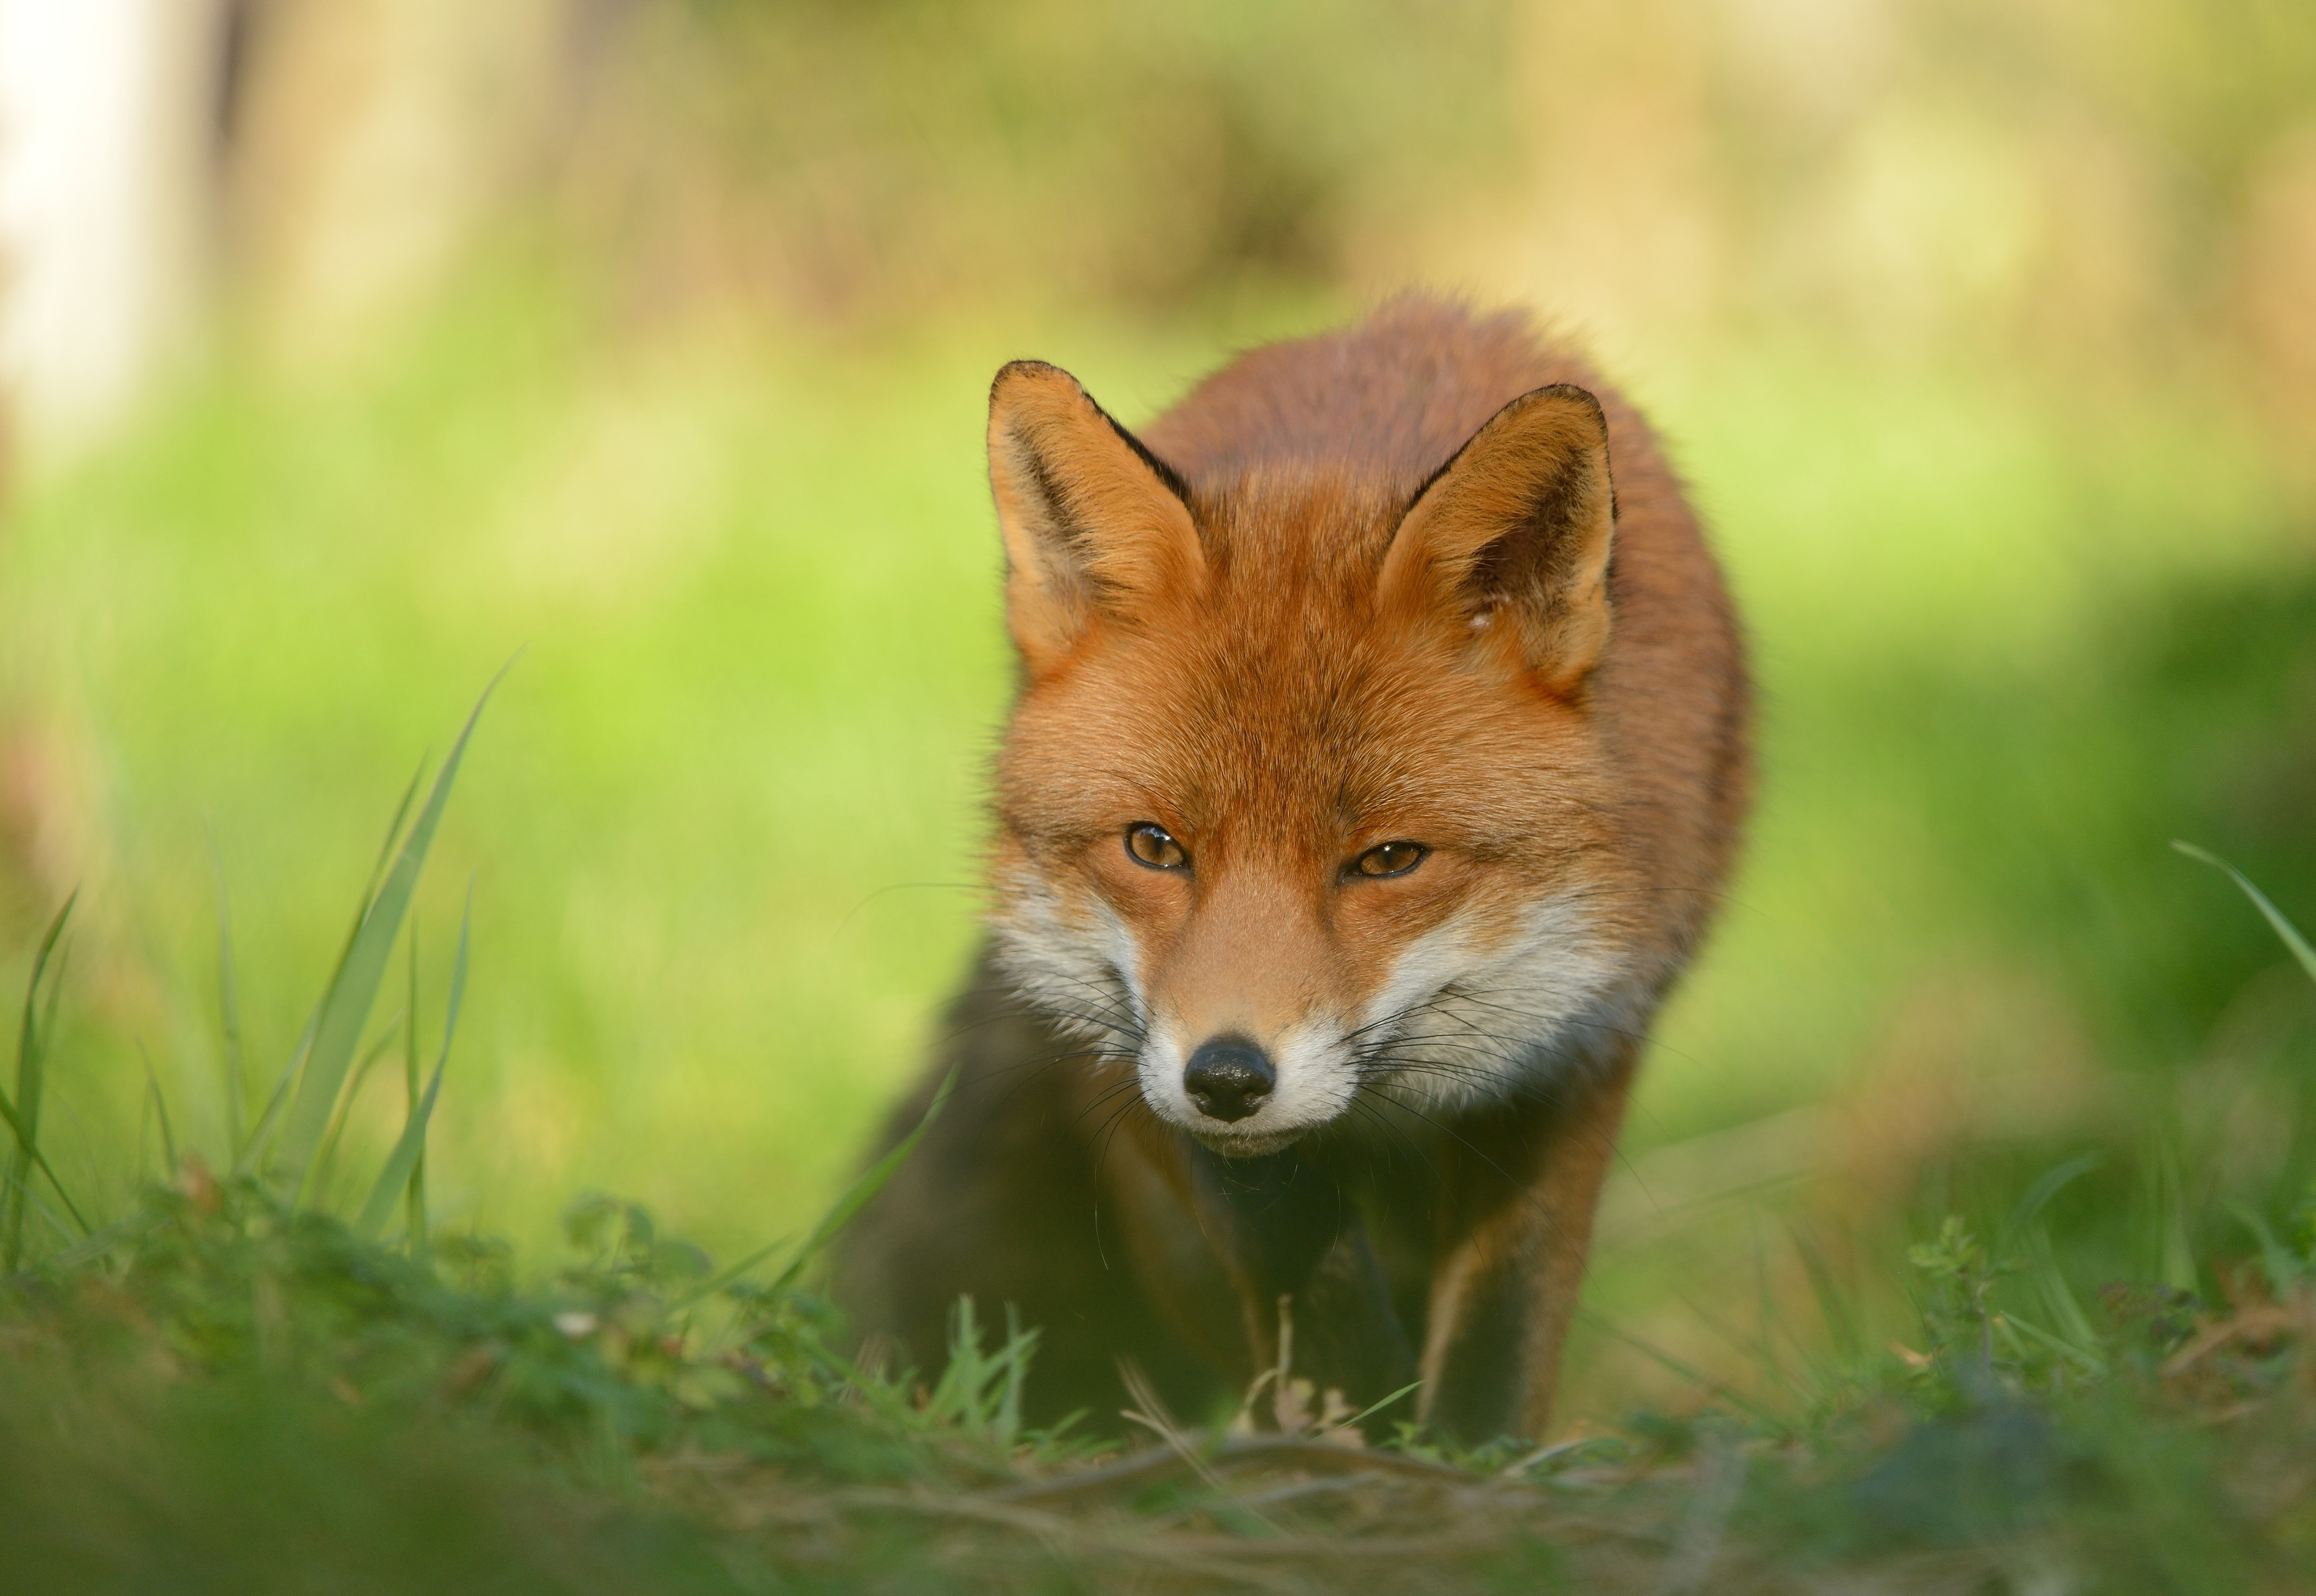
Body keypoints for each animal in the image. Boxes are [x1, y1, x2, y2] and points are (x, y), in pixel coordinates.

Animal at [838, 293, 1751, 1436]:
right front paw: (1354, 1411)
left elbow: (1506, 1316)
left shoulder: (1582, 1039)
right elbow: (1286, 1253)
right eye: (1154, 846)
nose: (1228, 1077)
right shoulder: (1125, 1056)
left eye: (1389, 859)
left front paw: (1462, 1451)